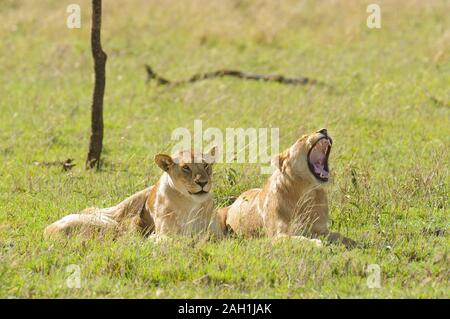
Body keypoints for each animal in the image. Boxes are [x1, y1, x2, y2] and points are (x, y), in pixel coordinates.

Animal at [44, 148, 223, 240]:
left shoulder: (218, 234)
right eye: (186, 167)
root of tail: (46, 231)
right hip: (109, 225)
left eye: (206, 165)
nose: (203, 182)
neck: (191, 204)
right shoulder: (165, 234)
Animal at [219, 129, 358, 249]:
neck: (306, 192)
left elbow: (340, 236)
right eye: (303, 138)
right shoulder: (277, 236)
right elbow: (299, 239)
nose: (323, 130)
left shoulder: (321, 229)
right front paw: (317, 243)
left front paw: (356, 243)